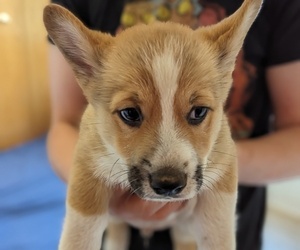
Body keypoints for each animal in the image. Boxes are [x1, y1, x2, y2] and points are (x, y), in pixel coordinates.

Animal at [44, 0, 262, 249]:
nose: (168, 183)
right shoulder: (86, 171)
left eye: (198, 112)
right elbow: (79, 234)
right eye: (130, 113)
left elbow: (218, 234)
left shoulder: (222, 181)